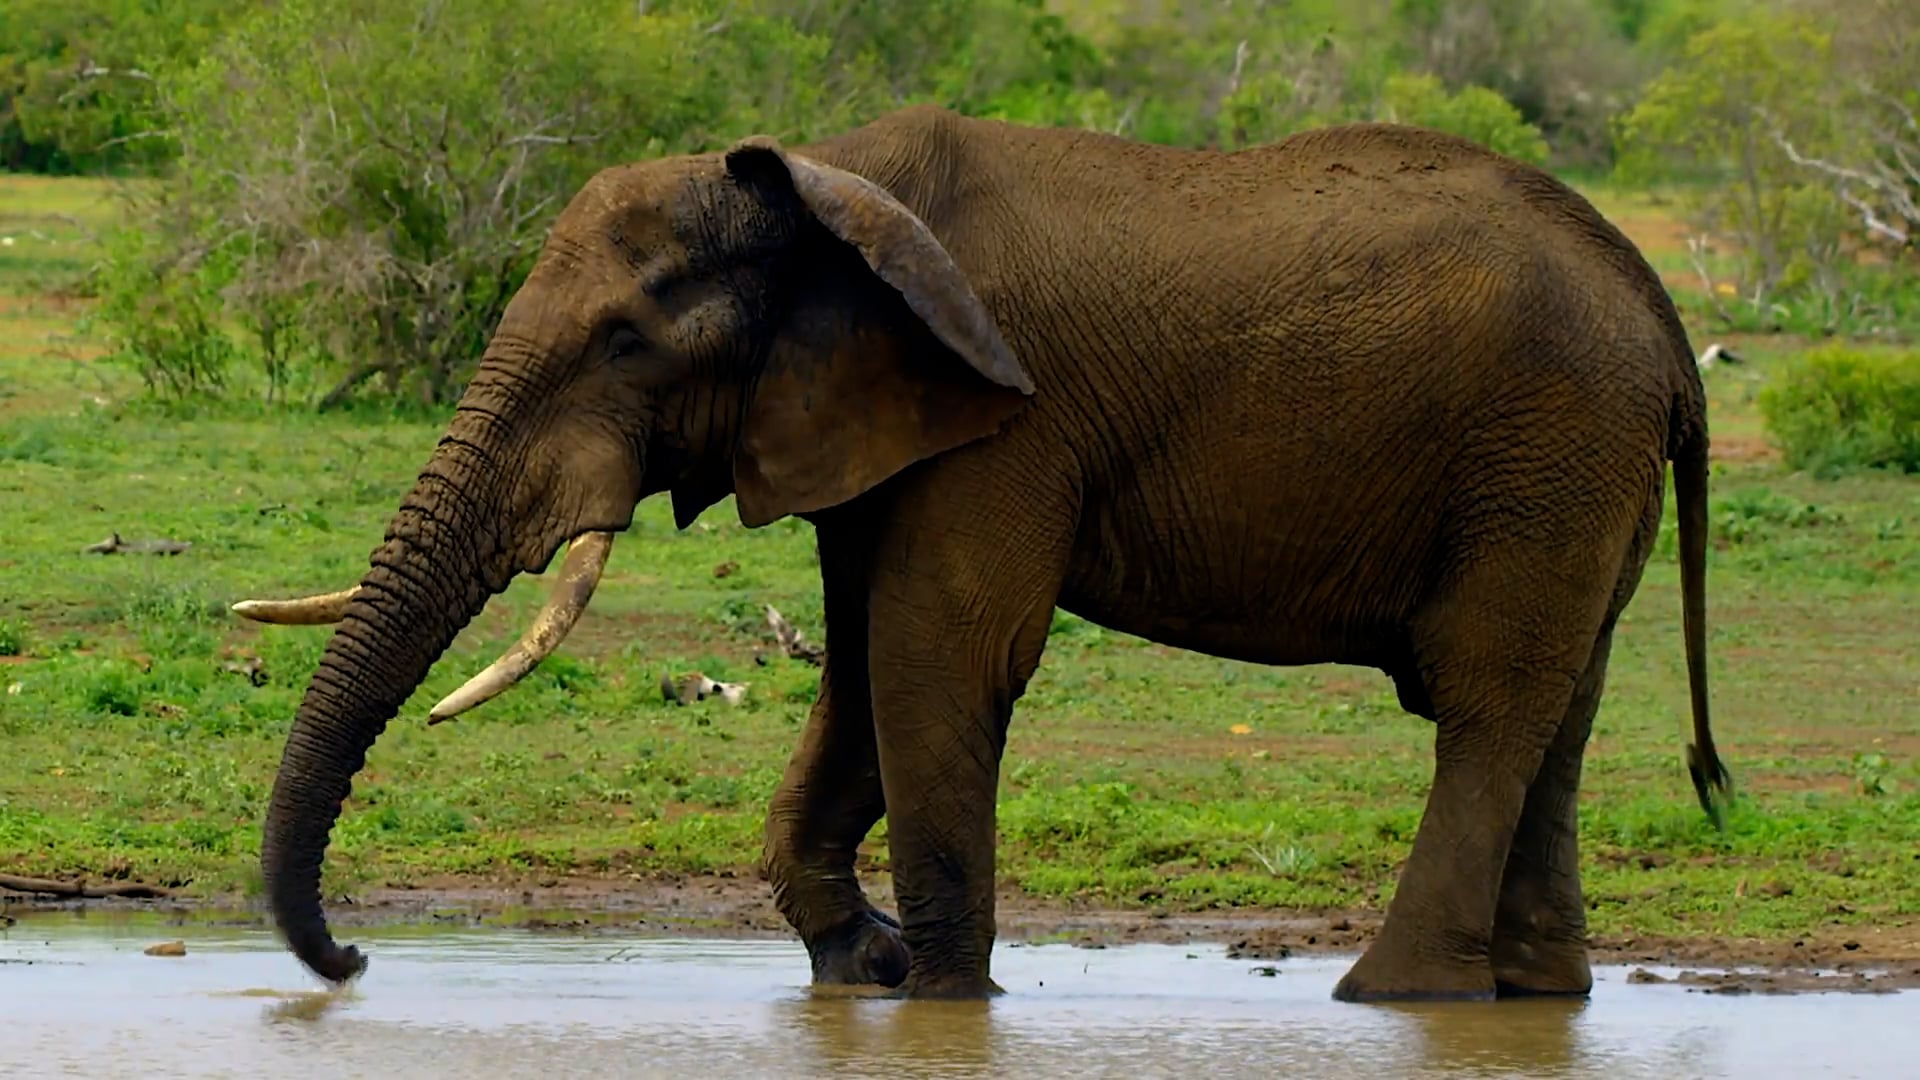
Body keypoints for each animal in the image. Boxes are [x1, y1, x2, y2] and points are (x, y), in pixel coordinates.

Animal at [233, 103, 1731, 1004]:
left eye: (624, 345)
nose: (354, 957)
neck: (823, 184)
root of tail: (1662, 313)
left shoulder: (1007, 420)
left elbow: (936, 660)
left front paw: (950, 999)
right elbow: (858, 671)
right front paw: (866, 968)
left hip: (1546, 447)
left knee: (1484, 704)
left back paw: (1390, 994)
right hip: (1574, 472)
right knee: (1559, 712)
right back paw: (1536, 996)